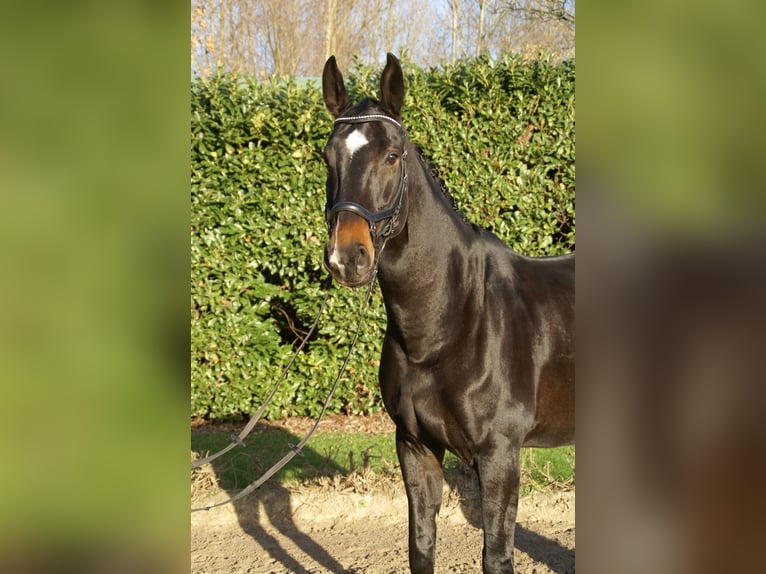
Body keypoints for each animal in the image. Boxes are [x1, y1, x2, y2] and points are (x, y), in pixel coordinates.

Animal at [320, 53, 575, 574]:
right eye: (327, 157)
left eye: (392, 155)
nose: (347, 258)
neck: (451, 323)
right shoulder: (415, 447)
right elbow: (420, 546)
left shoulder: (499, 457)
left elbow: (496, 557)